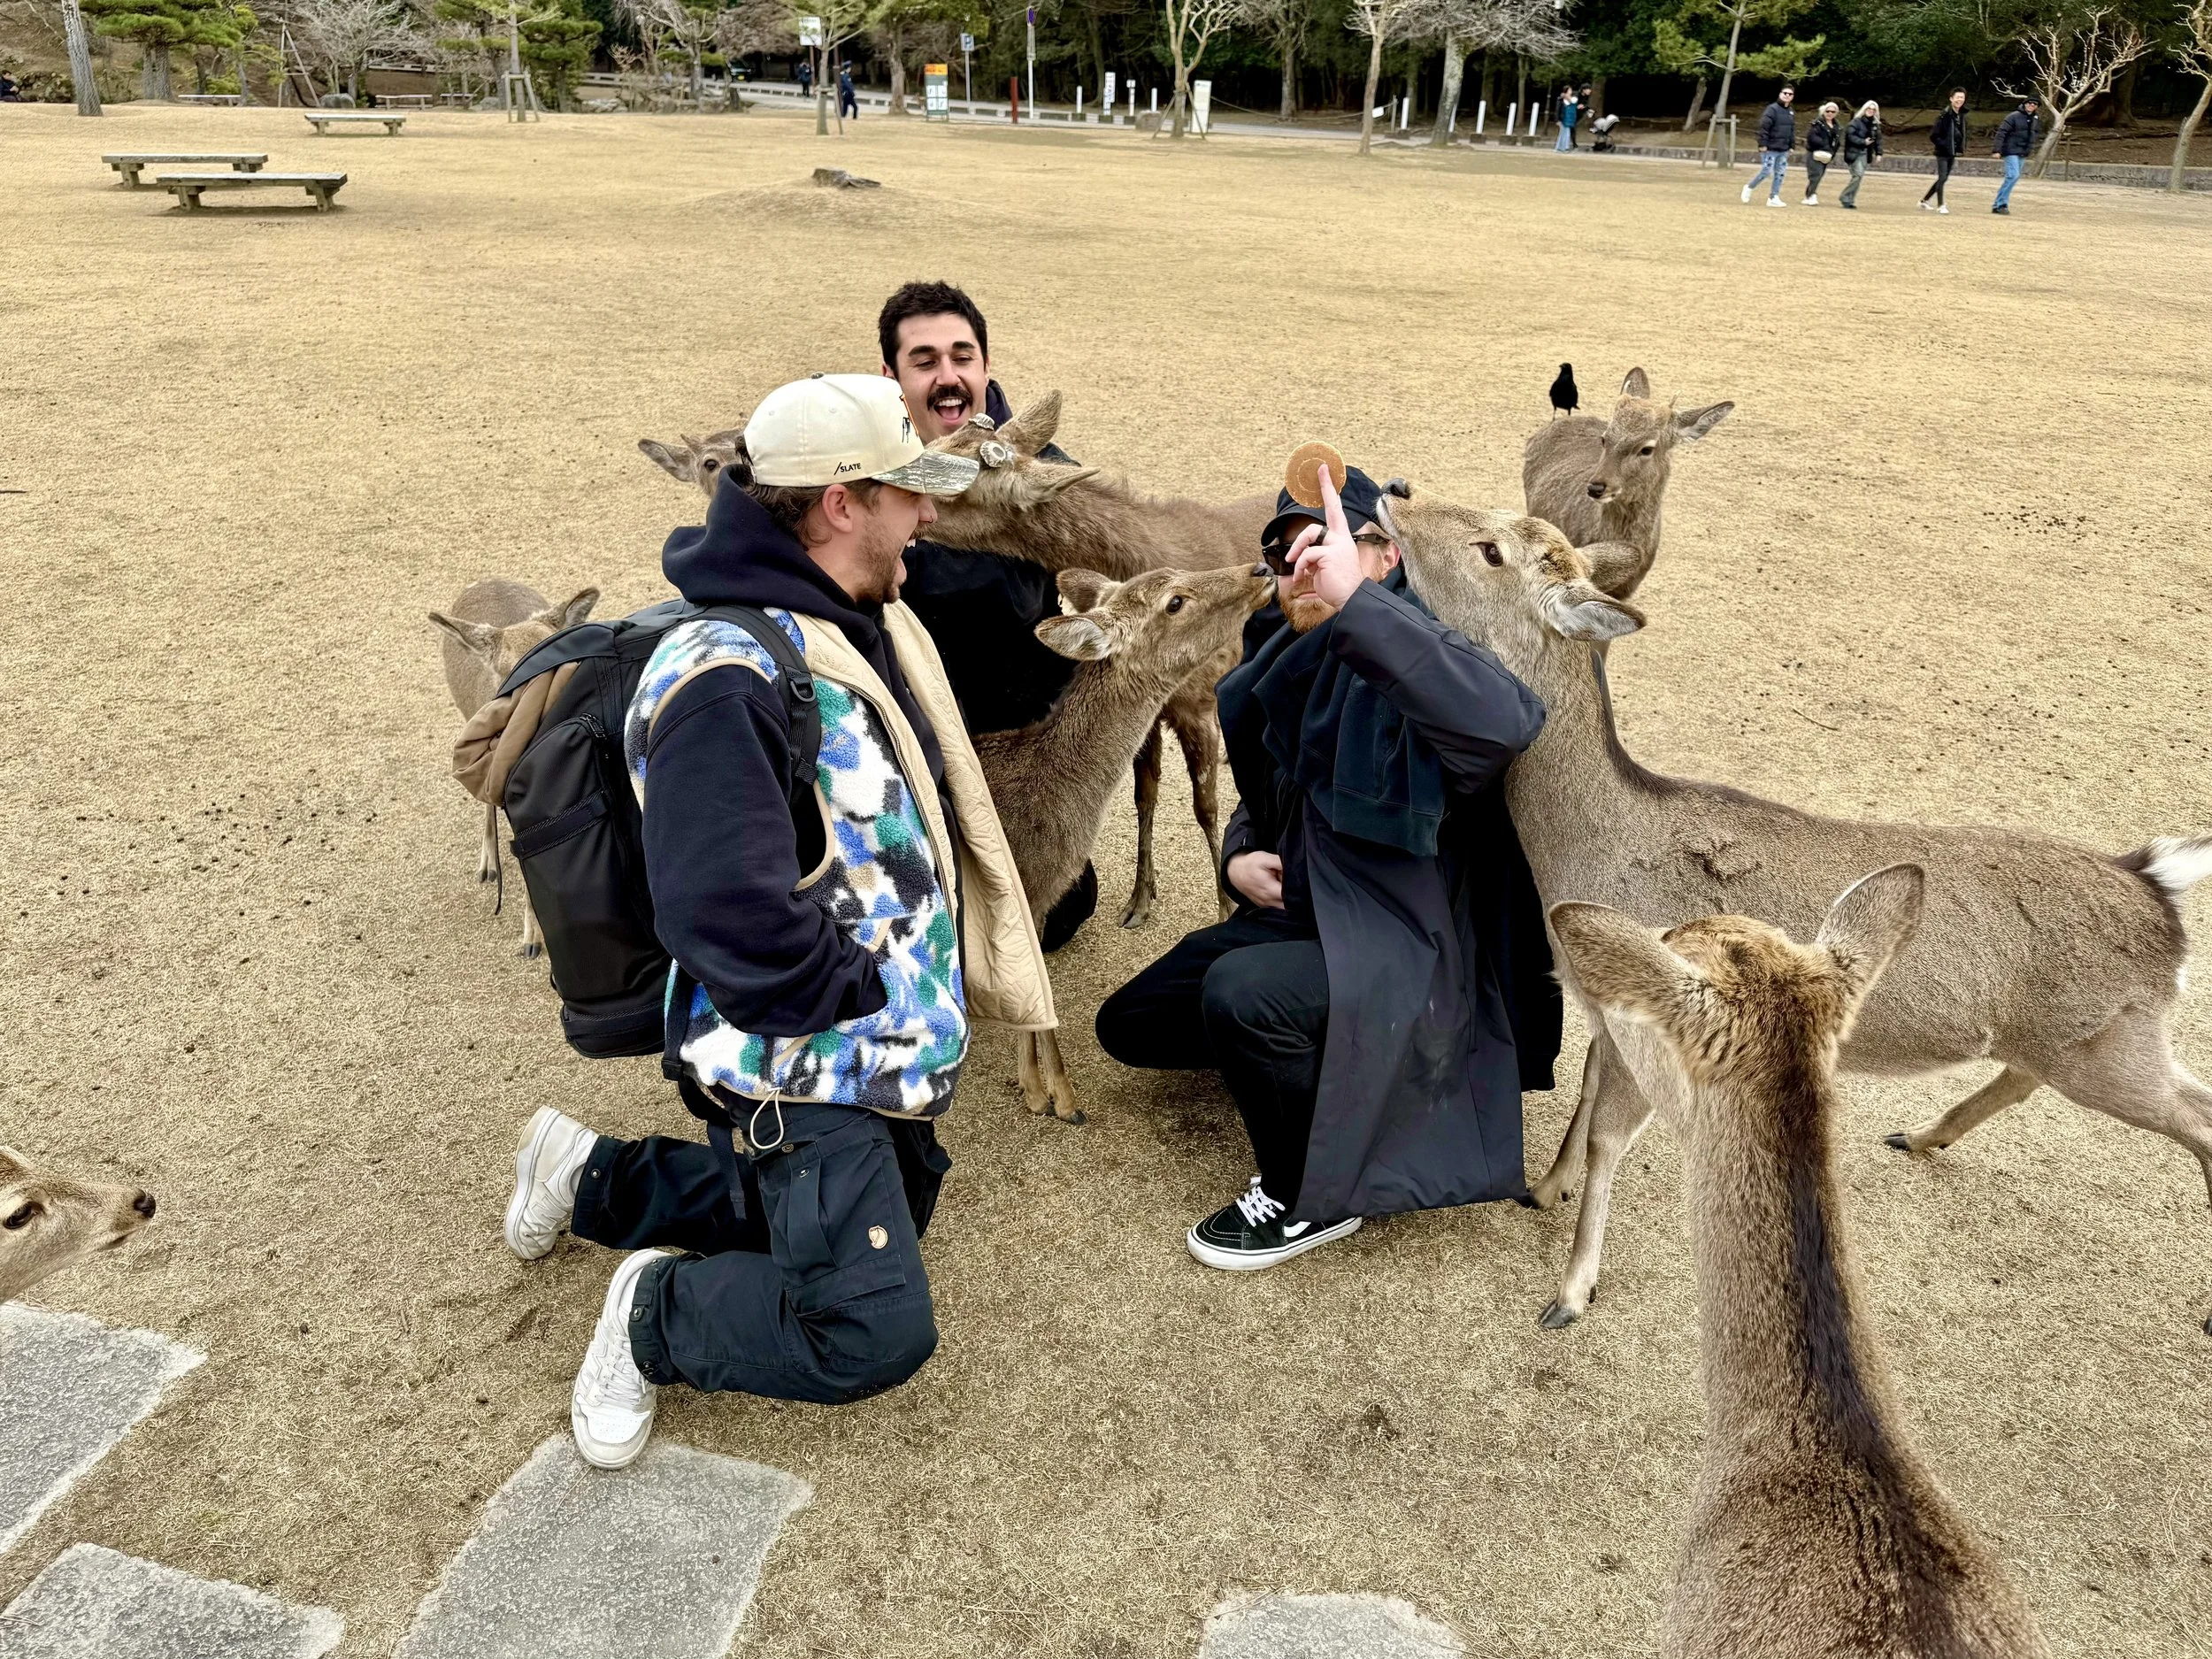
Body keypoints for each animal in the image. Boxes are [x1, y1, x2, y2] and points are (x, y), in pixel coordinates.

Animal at [640, 400, 1277, 930]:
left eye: (952, 481)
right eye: (932, 445)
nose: (1262, 568)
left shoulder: (1198, 698)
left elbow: (1200, 803)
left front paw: (1223, 905)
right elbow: (1154, 795)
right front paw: (1158, 902)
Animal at [1377, 489, 2212, 1330]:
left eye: (1491, 551)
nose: (1393, 496)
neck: (1583, 856)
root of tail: (2156, 887)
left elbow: (1613, 1133)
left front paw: (1571, 1292)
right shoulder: (1605, 1009)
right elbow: (1585, 1089)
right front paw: (1546, 1186)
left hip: (2107, 1046)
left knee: (2197, 1116)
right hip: (2077, 1038)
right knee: (2033, 1079)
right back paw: (1920, 1136)